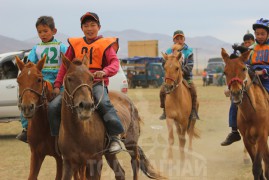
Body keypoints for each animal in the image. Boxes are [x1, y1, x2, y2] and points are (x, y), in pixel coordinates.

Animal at [220, 48, 268, 180]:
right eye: (225, 72)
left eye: (243, 69)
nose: (236, 93)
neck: (252, 113)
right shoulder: (247, 141)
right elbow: (258, 169)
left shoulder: (262, 137)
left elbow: (257, 167)